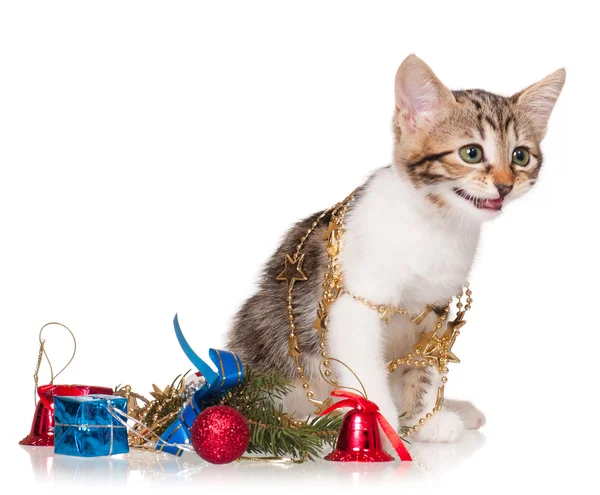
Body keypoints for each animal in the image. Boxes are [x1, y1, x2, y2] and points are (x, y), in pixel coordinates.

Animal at [224, 56, 564, 444]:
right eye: (471, 153)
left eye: (520, 156)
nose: (505, 186)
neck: (437, 224)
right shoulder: (354, 306)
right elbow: (366, 373)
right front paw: (384, 428)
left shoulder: (435, 311)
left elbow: (427, 363)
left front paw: (425, 419)